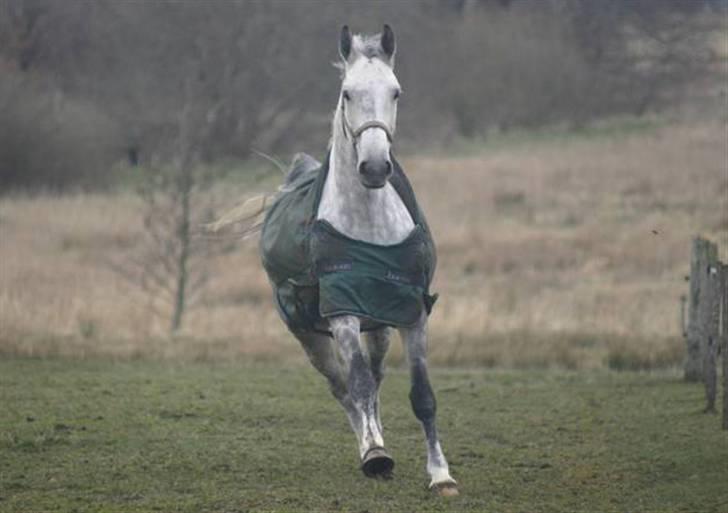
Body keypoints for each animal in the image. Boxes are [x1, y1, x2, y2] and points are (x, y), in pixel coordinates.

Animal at [258, 25, 458, 496]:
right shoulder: (343, 311)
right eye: (347, 93)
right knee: (344, 387)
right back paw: (370, 445)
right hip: (309, 336)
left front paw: (440, 473)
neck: (369, 221)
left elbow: (421, 395)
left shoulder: (411, 313)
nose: (374, 167)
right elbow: (358, 385)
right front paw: (375, 454)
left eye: (396, 91)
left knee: (376, 378)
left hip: (379, 327)